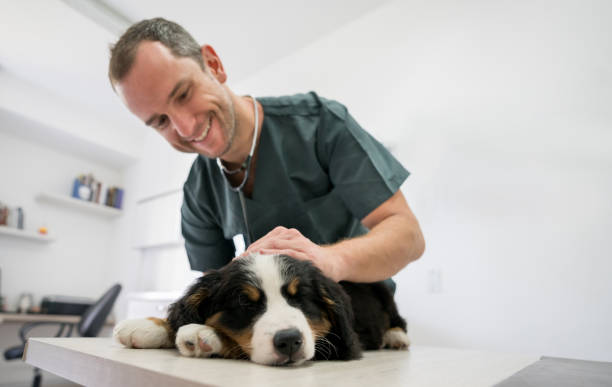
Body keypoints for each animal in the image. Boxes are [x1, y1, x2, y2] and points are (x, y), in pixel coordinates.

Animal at [115, 255, 412, 366]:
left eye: (300, 299)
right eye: (246, 304)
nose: (289, 341)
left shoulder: (339, 343)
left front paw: (204, 335)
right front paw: (147, 326)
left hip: (385, 292)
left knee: (398, 319)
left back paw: (396, 337)